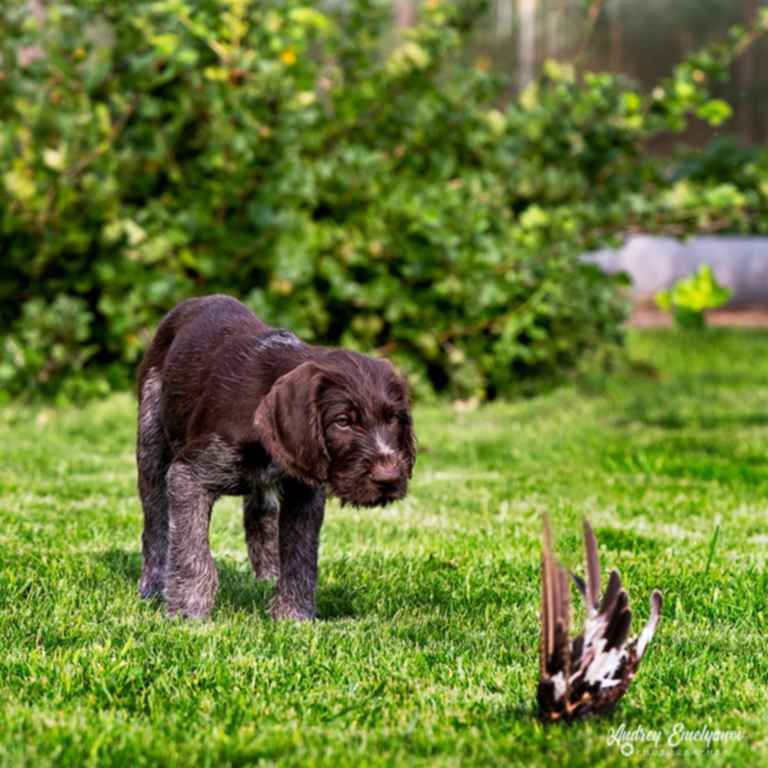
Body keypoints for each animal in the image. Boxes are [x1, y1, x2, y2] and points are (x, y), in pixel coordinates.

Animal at [136, 292, 416, 620]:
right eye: (343, 421)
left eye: (393, 419)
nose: (389, 478)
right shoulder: (189, 476)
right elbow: (191, 552)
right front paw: (188, 614)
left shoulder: (305, 492)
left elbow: (300, 556)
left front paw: (294, 617)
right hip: (151, 443)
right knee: (155, 524)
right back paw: (152, 586)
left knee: (260, 516)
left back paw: (266, 578)